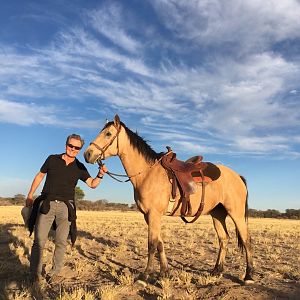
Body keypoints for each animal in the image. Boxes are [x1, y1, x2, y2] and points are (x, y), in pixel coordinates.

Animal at [83, 114, 254, 284]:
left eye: (108, 134)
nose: (87, 154)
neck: (147, 174)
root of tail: (237, 176)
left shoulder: (154, 214)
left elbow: (151, 244)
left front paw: (144, 276)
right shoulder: (149, 216)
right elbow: (159, 243)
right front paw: (164, 273)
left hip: (236, 214)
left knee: (246, 240)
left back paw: (248, 276)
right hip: (217, 214)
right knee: (223, 239)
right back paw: (217, 271)